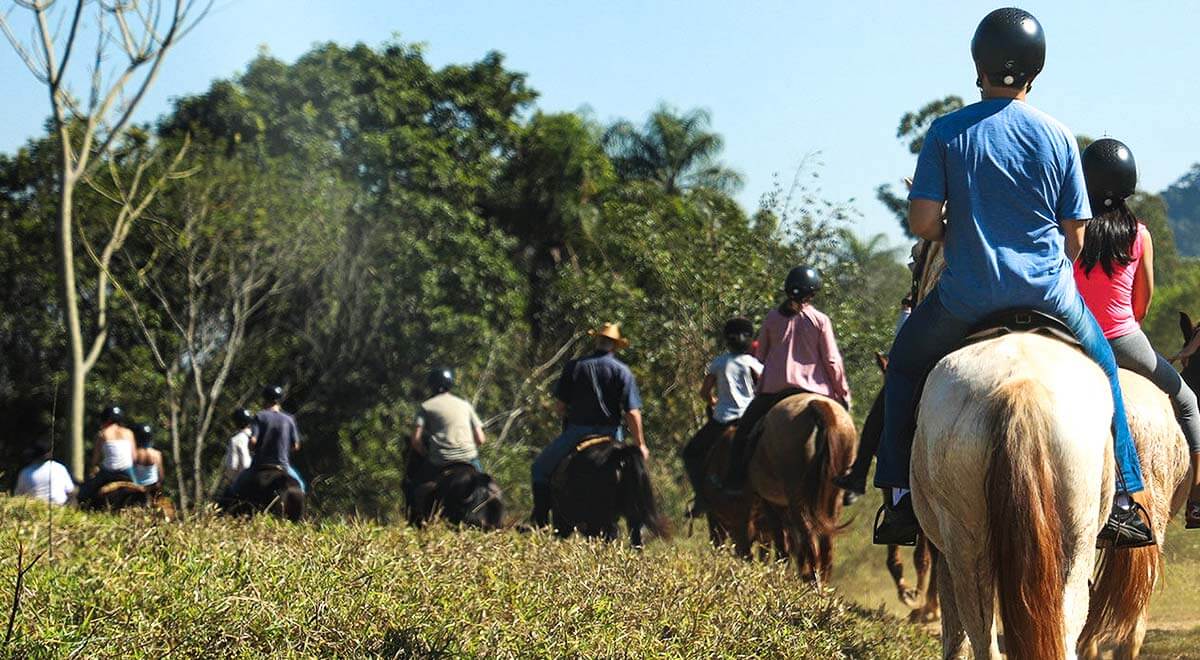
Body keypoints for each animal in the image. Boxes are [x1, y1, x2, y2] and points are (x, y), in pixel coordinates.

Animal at [744, 393, 859, 585]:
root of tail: (815, 405)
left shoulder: (772, 505)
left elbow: (783, 543)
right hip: (832, 497)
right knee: (825, 543)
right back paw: (821, 582)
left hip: (797, 499)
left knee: (808, 538)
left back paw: (812, 580)